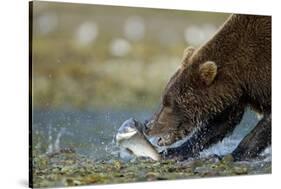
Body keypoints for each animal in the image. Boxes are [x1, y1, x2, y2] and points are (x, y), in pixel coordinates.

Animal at [144, 13, 270, 161]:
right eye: (163, 100)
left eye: (168, 103)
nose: (147, 125)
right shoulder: (234, 94)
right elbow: (219, 124)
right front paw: (174, 152)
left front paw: (232, 155)